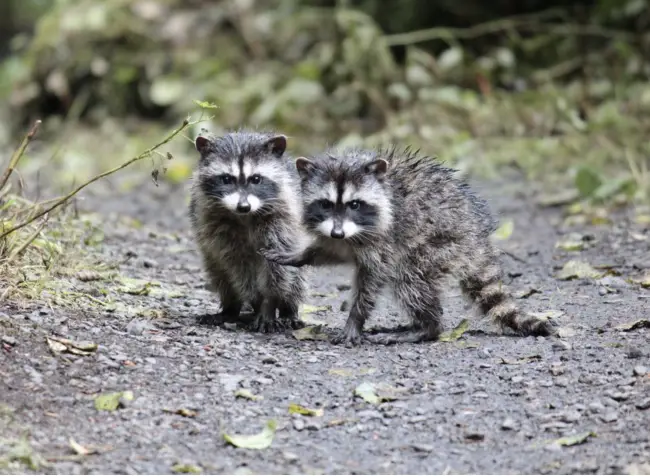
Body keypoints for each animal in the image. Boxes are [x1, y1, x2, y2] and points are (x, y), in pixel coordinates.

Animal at [189, 130, 306, 332]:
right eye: (227, 179)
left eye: (256, 179)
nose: (243, 206)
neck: (245, 216)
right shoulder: (215, 227)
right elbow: (238, 266)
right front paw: (258, 303)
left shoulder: (283, 220)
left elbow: (278, 269)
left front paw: (269, 303)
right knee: (221, 274)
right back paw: (230, 308)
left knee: (296, 277)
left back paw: (289, 310)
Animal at [262, 146, 556, 345]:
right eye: (325, 204)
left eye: (355, 204)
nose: (337, 232)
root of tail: (476, 235)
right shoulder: (339, 235)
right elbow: (331, 250)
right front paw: (301, 255)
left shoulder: (383, 239)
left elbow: (371, 281)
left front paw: (355, 319)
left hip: (438, 243)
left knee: (410, 280)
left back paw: (428, 327)